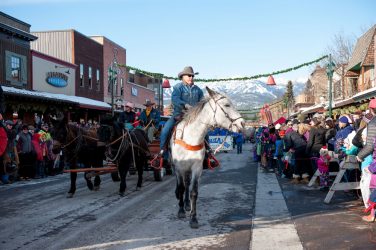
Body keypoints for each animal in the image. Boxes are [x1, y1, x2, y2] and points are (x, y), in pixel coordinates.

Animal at [170, 86, 244, 229]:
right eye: (227, 105)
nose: (242, 123)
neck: (190, 137)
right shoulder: (179, 167)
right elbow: (181, 187)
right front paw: (181, 211)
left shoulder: (196, 167)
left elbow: (193, 192)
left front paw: (193, 218)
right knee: (182, 185)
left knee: (187, 184)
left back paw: (187, 204)